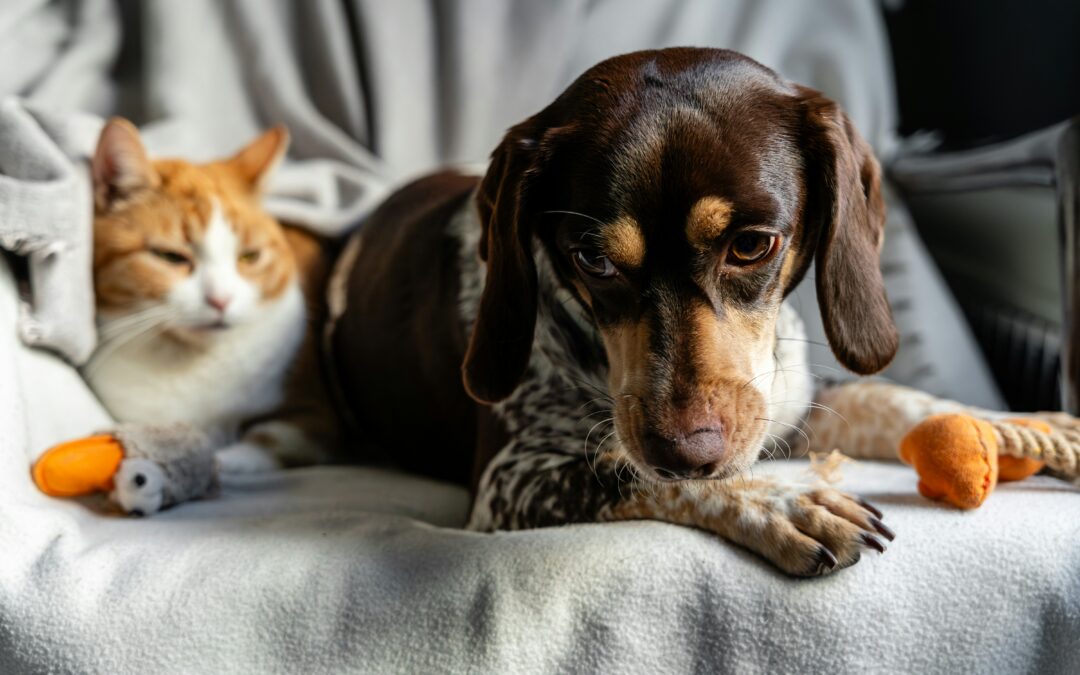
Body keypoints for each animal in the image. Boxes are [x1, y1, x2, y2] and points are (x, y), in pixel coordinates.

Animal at [87, 118, 336, 507]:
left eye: (249, 256)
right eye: (171, 256)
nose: (221, 300)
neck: (194, 362)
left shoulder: (322, 417)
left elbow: (270, 436)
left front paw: (222, 459)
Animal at [330, 47, 902, 574]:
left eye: (751, 245)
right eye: (593, 260)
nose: (684, 452)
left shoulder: (796, 405)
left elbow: (889, 402)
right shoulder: (507, 480)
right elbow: (632, 474)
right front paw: (783, 505)